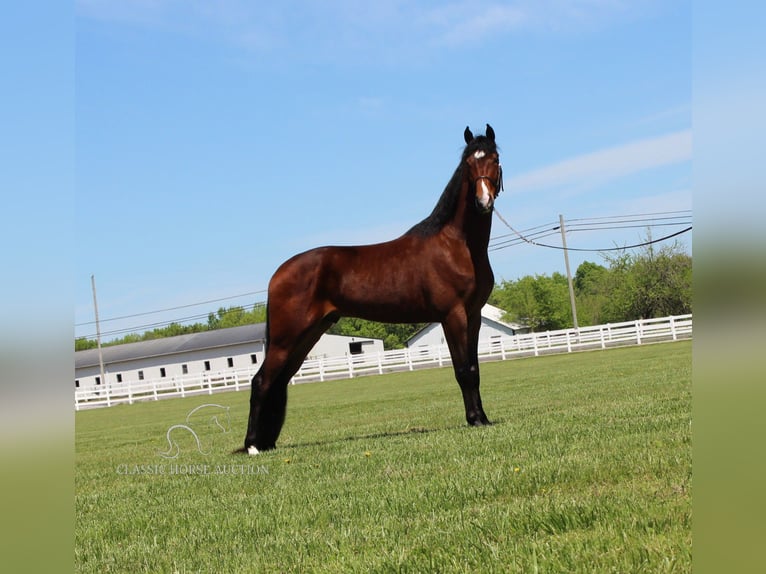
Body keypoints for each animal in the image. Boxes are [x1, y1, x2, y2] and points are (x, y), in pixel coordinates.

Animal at [242, 125, 504, 454]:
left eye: (495, 159)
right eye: (468, 164)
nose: (483, 202)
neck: (457, 245)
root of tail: (278, 273)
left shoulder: (474, 315)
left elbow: (475, 369)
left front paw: (482, 418)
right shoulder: (452, 315)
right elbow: (463, 371)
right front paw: (474, 420)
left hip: (307, 335)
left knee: (279, 380)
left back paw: (266, 443)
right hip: (285, 337)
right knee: (261, 381)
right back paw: (252, 446)